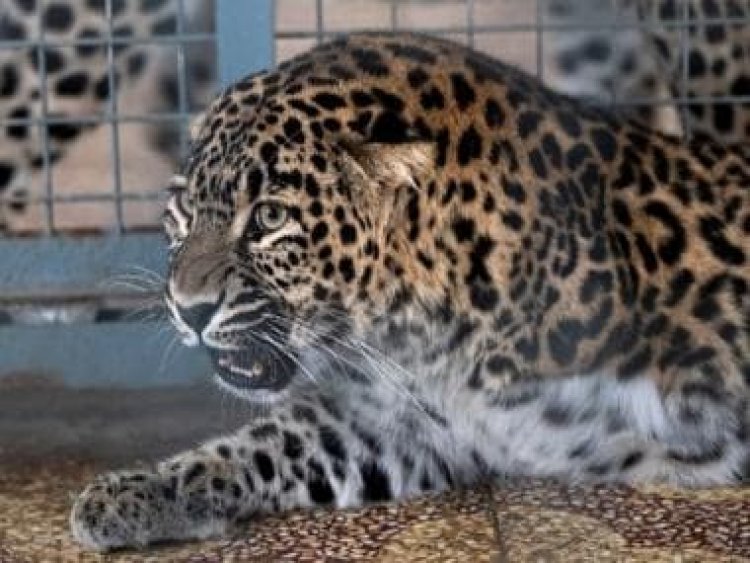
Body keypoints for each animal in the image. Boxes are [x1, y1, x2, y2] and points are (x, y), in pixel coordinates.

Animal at [70, 32, 750, 551]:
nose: (189, 311)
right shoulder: (399, 425)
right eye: (183, 211)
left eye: (268, 218)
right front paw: (138, 492)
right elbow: (264, 445)